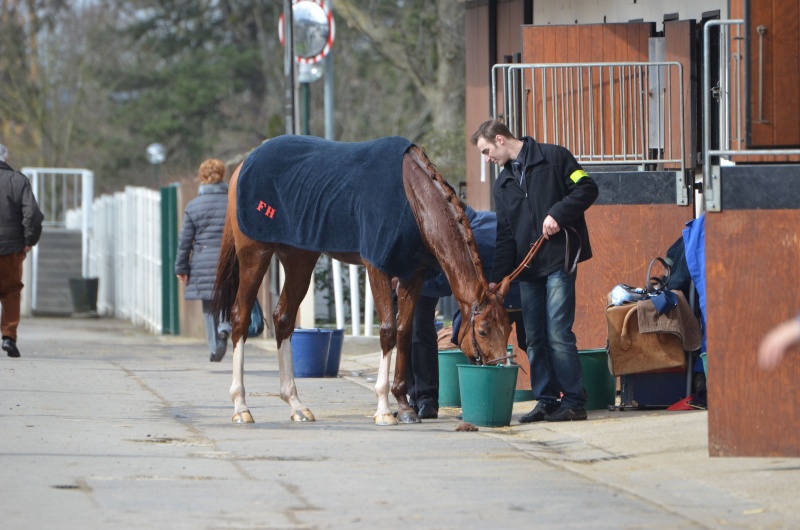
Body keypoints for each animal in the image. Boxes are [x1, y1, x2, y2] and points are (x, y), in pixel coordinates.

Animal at [211, 137, 512, 424]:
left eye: (508, 327)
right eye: (482, 331)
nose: (501, 367)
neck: (412, 195)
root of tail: (243, 166)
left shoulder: (412, 274)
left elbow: (403, 332)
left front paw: (405, 408)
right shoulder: (376, 267)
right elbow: (388, 330)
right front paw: (383, 410)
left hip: (299, 260)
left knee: (283, 319)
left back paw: (296, 405)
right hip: (254, 255)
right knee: (239, 317)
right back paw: (241, 406)